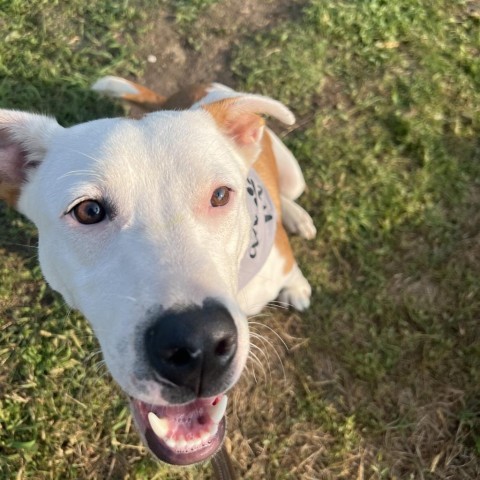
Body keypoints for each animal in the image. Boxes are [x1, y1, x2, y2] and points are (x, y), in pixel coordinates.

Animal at [0, 79, 316, 464]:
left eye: (221, 195)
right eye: (89, 211)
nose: (199, 345)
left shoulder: (278, 260)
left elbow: (292, 269)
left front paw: (297, 286)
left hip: (292, 172)